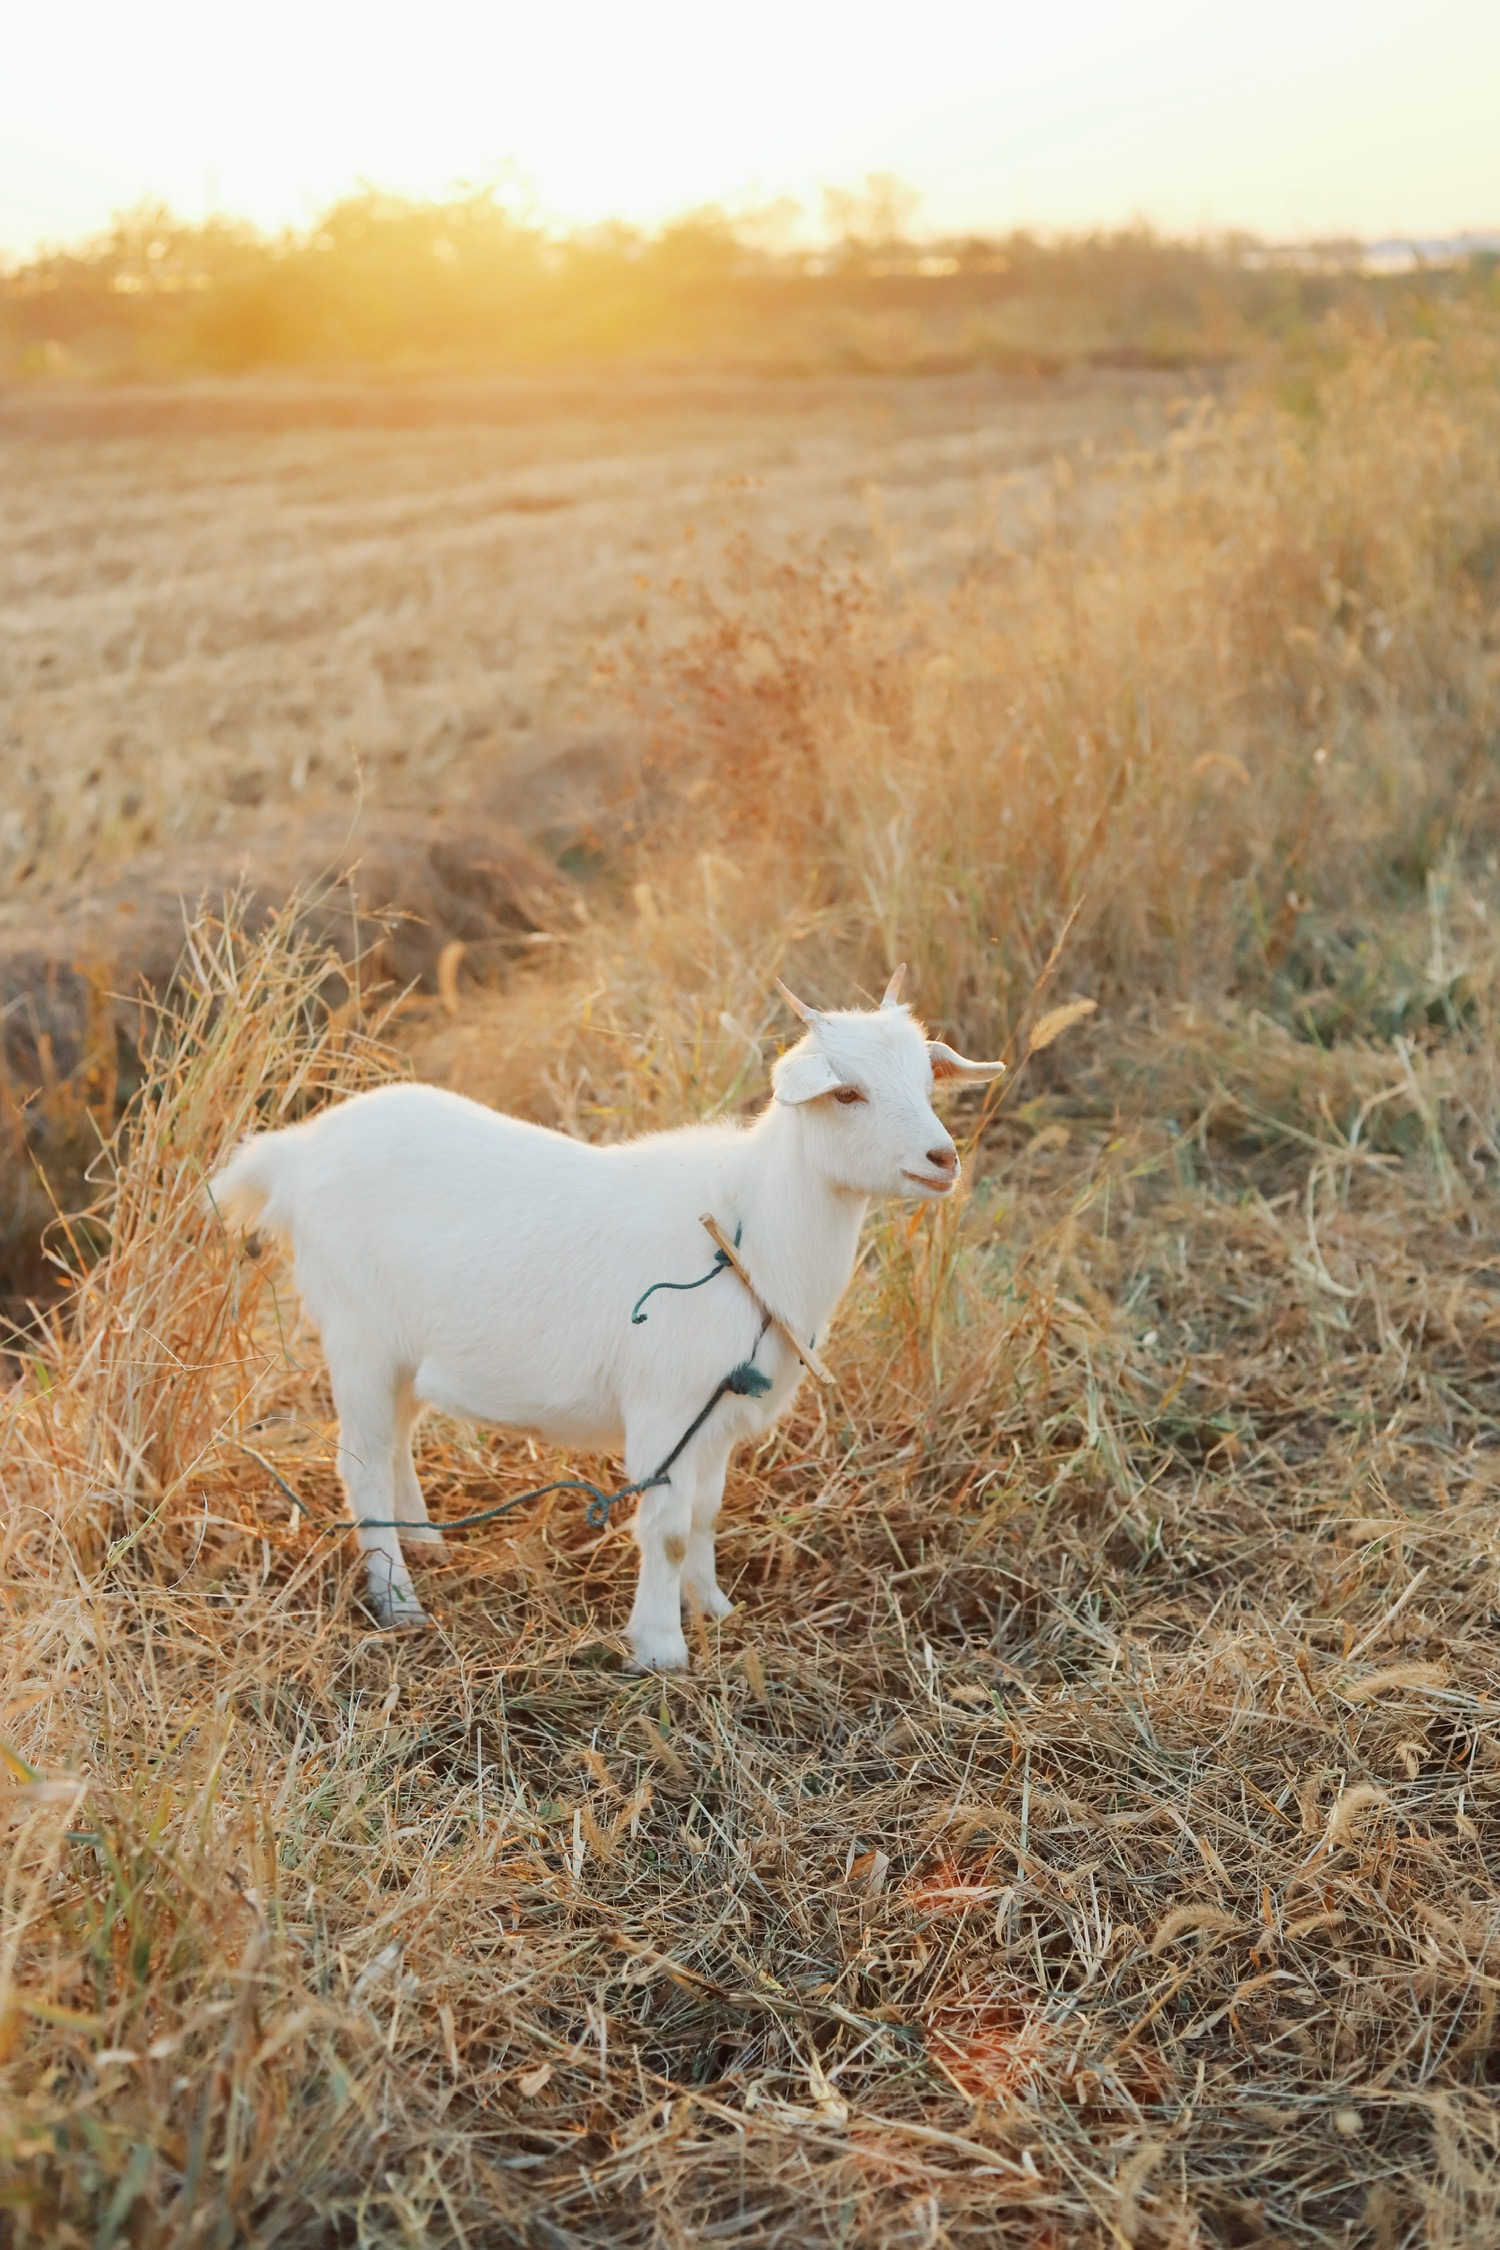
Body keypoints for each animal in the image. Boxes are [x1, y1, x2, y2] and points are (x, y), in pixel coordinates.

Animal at [209, 969, 1002, 1668]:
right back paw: (398, 1598)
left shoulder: (715, 1419)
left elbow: (706, 1514)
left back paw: (427, 1540)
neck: (746, 1231)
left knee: (396, 1440)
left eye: (927, 1083)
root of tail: (295, 1153)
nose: (943, 1158)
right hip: (357, 1337)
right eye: (847, 1092)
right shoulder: (666, 1410)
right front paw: (660, 1649)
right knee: (362, 1462)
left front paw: (716, 1610)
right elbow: (668, 1530)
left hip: (403, 1352)